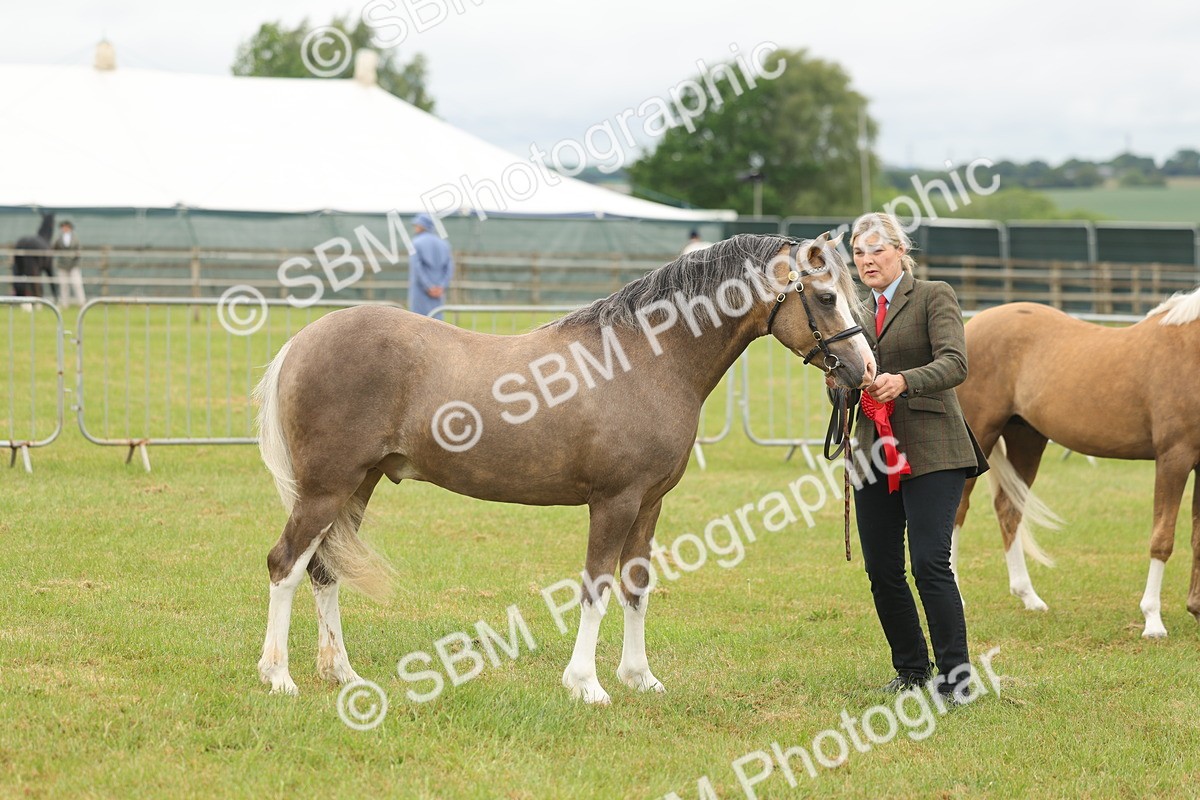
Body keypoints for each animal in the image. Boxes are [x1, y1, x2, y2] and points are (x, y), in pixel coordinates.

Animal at [252, 233, 877, 703]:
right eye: (826, 297)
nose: (864, 371)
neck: (645, 360)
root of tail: (303, 340)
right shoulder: (614, 502)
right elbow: (596, 587)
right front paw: (586, 685)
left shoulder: (649, 504)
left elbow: (636, 587)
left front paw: (639, 678)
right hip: (325, 489)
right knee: (285, 564)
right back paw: (278, 677)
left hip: (358, 487)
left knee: (324, 570)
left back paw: (342, 673)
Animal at [951, 287, 1200, 638]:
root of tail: (972, 325)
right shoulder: (1173, 458)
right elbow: (1162, 539)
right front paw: (1153, 621)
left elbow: (1197, 538)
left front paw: (1196, 609)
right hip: (979, 436)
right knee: (958, 511)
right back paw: (957, 596)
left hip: (1026, 439)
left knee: (1009, 509)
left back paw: (1029, 597)